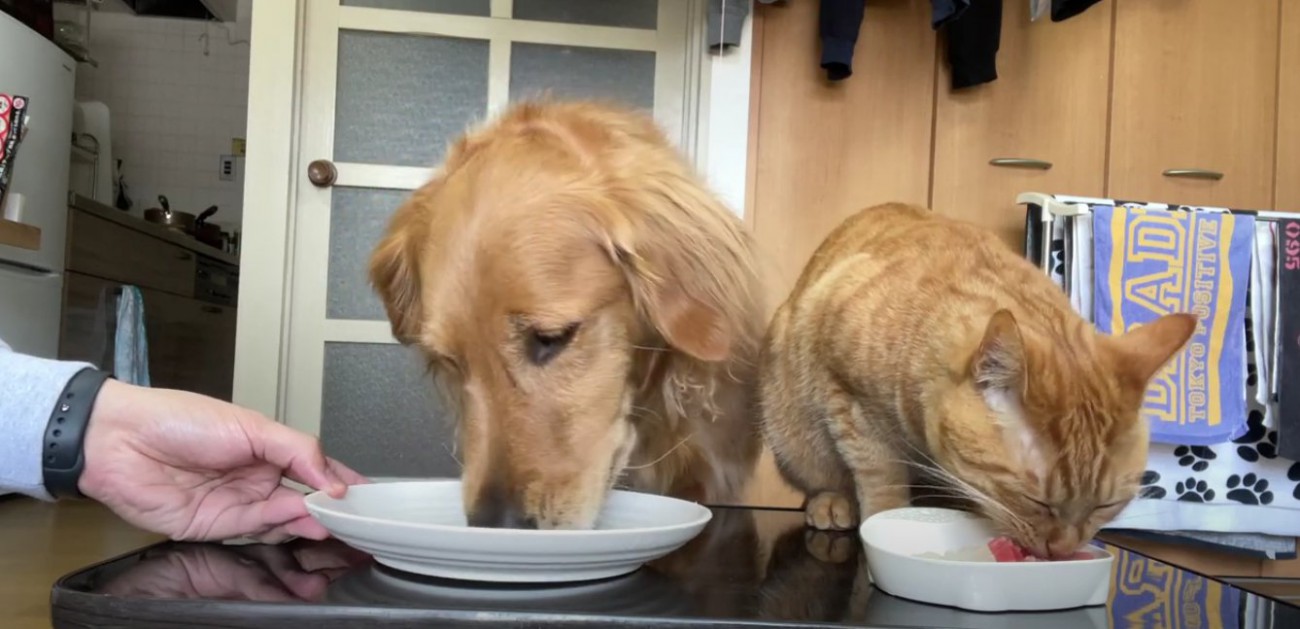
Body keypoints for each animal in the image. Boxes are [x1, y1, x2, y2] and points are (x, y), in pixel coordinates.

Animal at [759, 204, 1196, 558]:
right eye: (1035, 501)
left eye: (1104, 507)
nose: (1062, 550)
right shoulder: (851, 401)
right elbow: (881, 480)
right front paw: (883, 522)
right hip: (789, 424)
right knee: (821, 476)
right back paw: (832, 501)